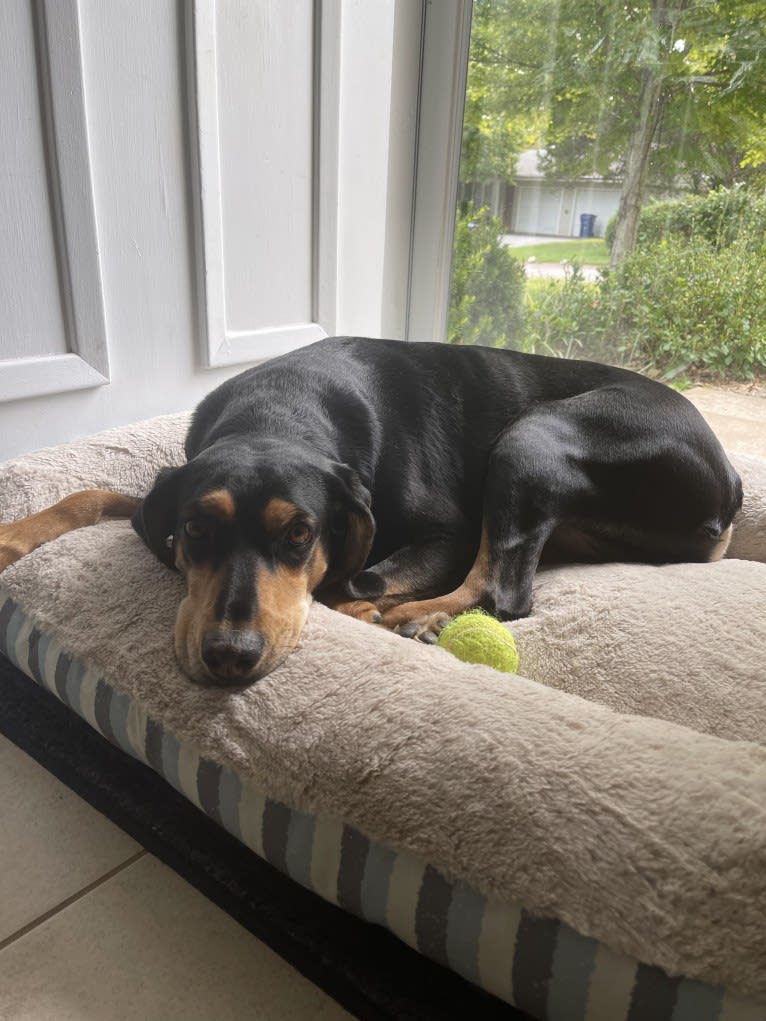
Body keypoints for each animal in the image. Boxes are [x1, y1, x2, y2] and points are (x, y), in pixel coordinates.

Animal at [0, 336, 743, 686]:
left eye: (300, 533)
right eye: (195, 529)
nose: (230, 655)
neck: (282, 406)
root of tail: (730, 477)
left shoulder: (444, 534)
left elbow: (351, 579)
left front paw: (364, 609)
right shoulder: (174, 482)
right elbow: (96, 492)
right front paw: (14, 534)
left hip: (532, 437)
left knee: (505, 591)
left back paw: (421, 617)